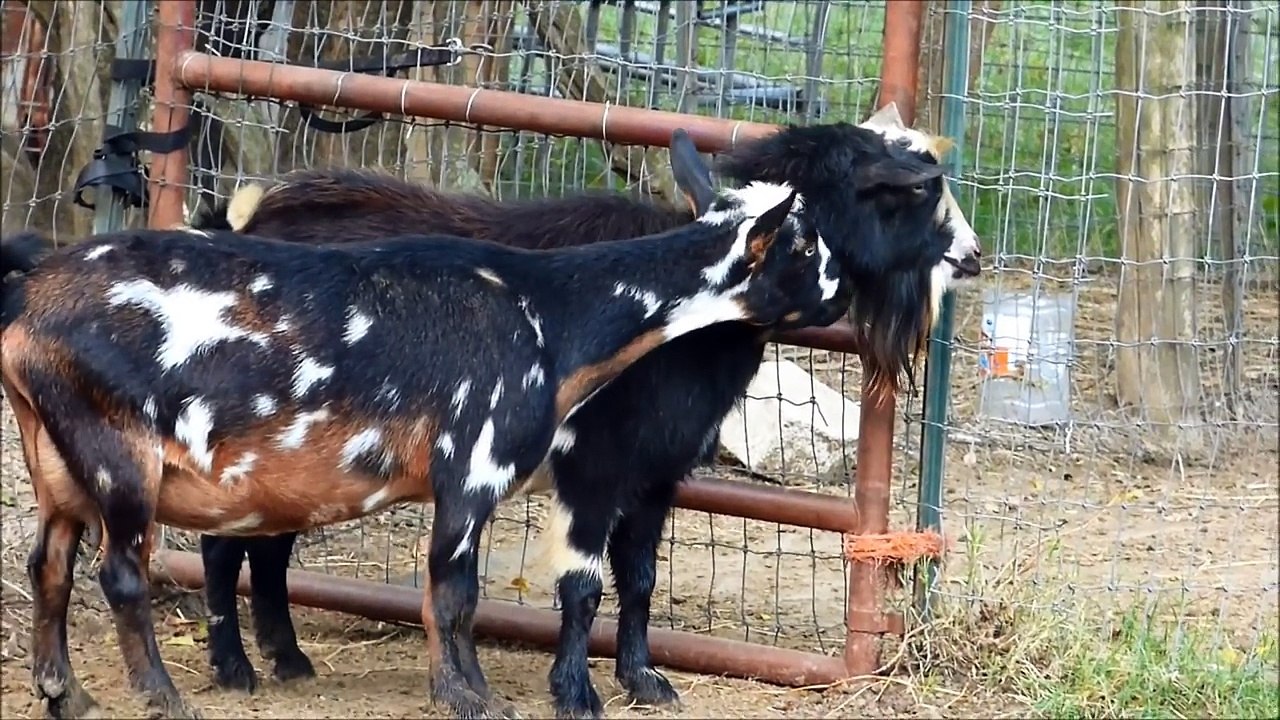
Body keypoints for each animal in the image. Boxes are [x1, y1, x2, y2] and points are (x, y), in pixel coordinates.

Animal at [0, 177, 844, 720]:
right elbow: (454, 591)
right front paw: (468, 697)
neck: (551, 312)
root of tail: (29, 297)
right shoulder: (477, 468)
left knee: (50, 566)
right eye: (804, 247)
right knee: (121, 573)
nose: (840, 297)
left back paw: (67, 694)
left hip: (56, 464)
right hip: (117, 455)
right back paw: (163, 698)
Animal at [185, 107, 982, 719]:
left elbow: (640, 578)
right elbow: (583, 582)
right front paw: (575, 691)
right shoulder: (593, 469)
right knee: (227, 544)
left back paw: (287, 657)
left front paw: (643, 679)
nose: (972, 254)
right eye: (914, 192)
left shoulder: (656, 473)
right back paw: (236, 667)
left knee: (267, 543)